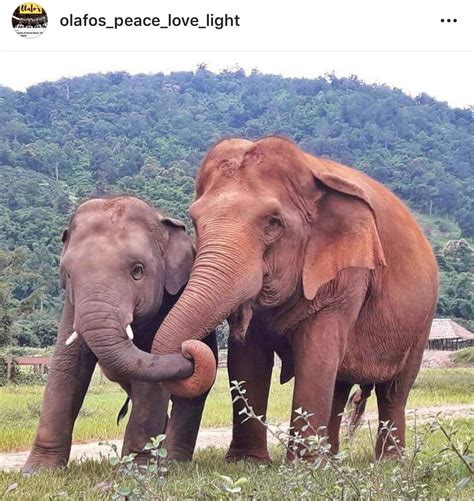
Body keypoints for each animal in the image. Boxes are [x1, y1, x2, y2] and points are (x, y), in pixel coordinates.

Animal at [25, 196, 218, 472]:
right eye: (68, 275)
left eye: (137, 270)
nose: (187, 349)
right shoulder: (72, 305)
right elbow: (67, 366)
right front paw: (37, 471)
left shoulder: (169, 300)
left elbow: (151, 378)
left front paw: (134, 471)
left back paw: (172, 463)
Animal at [143, 137, 436, 460]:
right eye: (195, 222)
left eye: (274, 223)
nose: (189, 349)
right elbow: (247, 357)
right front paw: (248, 462)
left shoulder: (347, 276)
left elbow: (316, 353)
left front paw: (302, 465)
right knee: (340, 384)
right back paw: (332, 458)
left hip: (422, 321)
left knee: (394, 389)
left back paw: (388, 461)